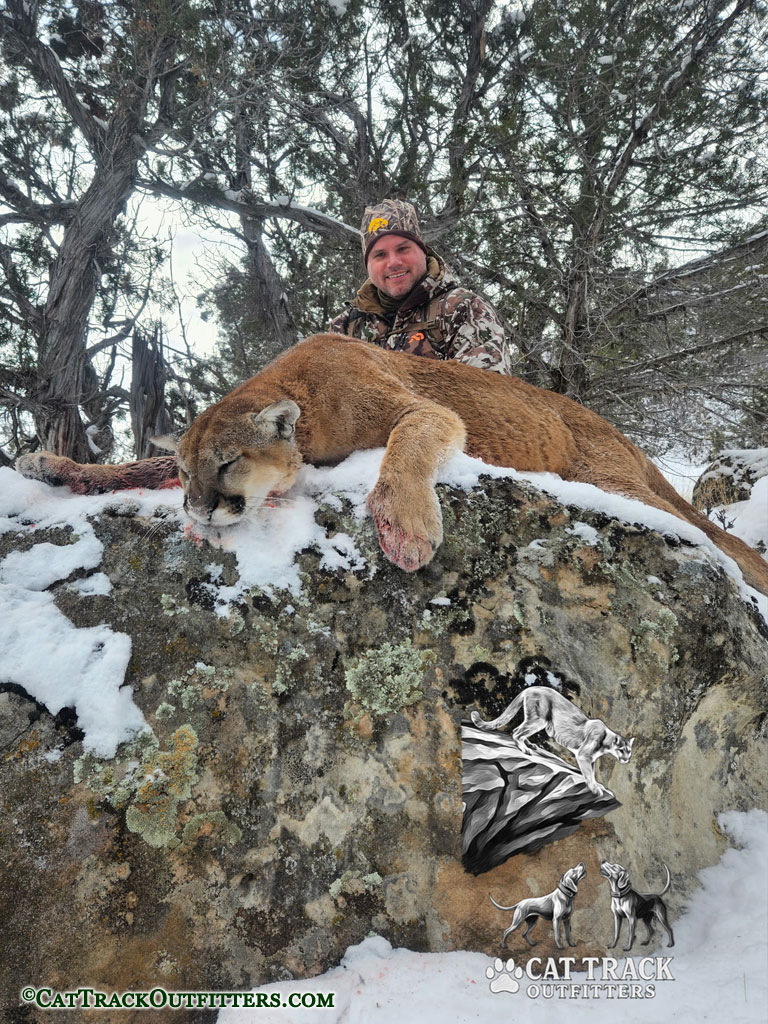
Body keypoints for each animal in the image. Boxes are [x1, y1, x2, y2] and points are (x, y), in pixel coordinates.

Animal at [16, 333, 768, 594]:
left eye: (227, 464)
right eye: (185, 471)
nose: (199, 509)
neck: (304, 394)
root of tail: (621, 433)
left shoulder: (422, 410)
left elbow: (408, 447)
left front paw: (404, 526)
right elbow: (131, 466)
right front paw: (52, 466)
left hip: (607, 477)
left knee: (710, 532)